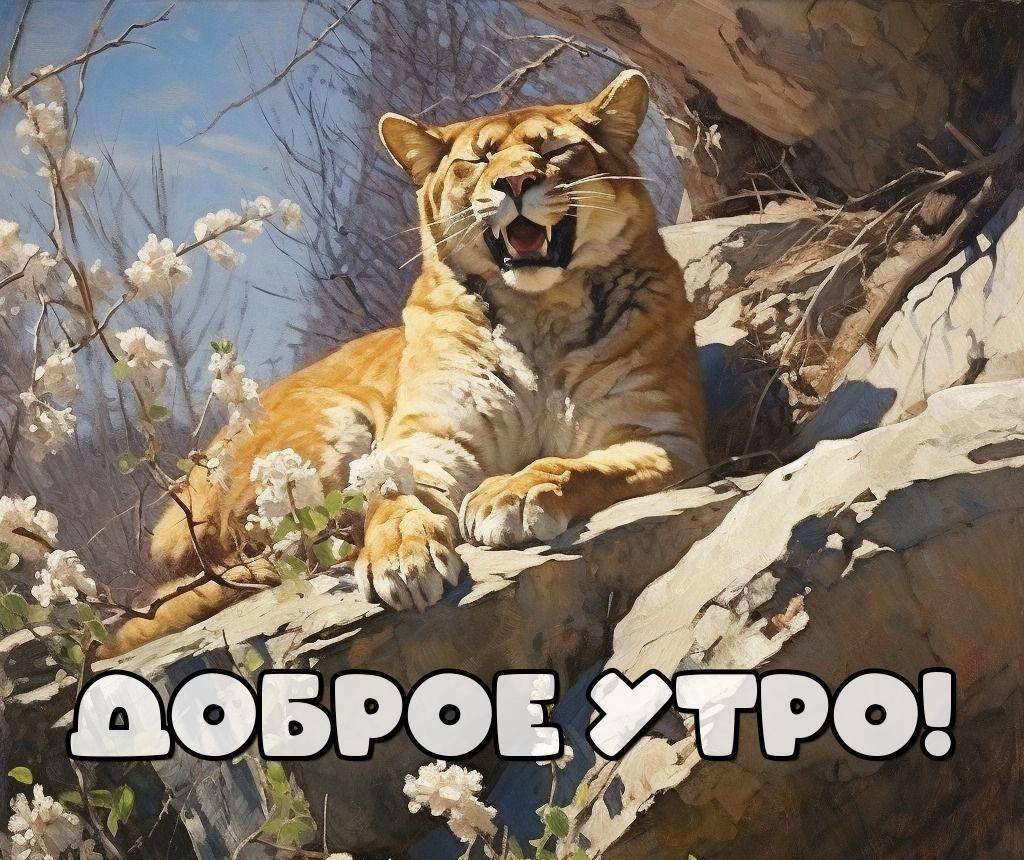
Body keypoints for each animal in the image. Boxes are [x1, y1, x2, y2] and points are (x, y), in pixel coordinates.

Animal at [99, 69, 707, 658]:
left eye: (554, 151)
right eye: (480, 160)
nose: (513, 184)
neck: (541, 315)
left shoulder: (659, 434)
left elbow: (573, 465)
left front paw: (511, 494)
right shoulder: (431, 439)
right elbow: (393, 496)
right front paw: (401, 557)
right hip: (331, 429)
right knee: (274, 547)